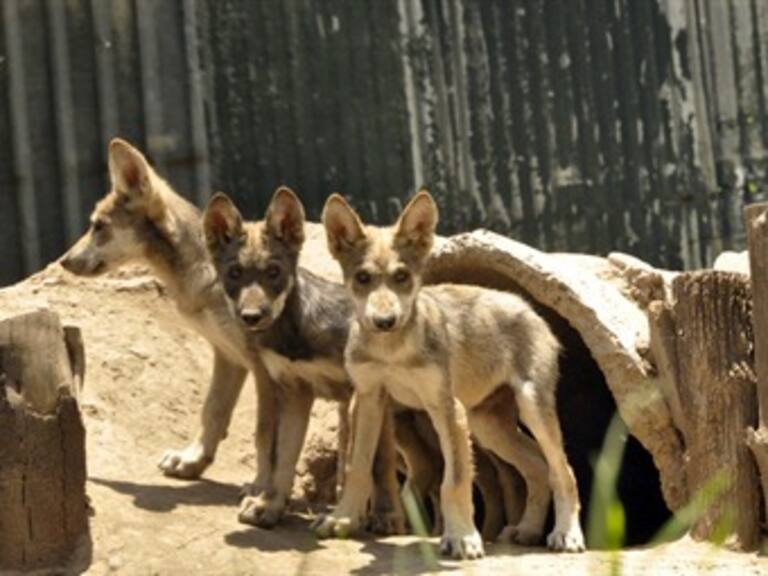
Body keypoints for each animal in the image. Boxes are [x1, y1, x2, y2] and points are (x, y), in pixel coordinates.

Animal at [316, 190, 585, 558]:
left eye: (402, 277)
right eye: (363, 278)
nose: (384, 321)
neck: (391, 349)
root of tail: (528, 306)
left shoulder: (445, 407)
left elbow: (454, 482)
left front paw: (461, 538)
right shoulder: (370, 400)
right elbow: (358, 468)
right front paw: (341, 520)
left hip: (530, 409)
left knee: (563, 470)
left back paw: (566, 534)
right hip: (488, 426)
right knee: (538, 467)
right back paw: (527, 530)